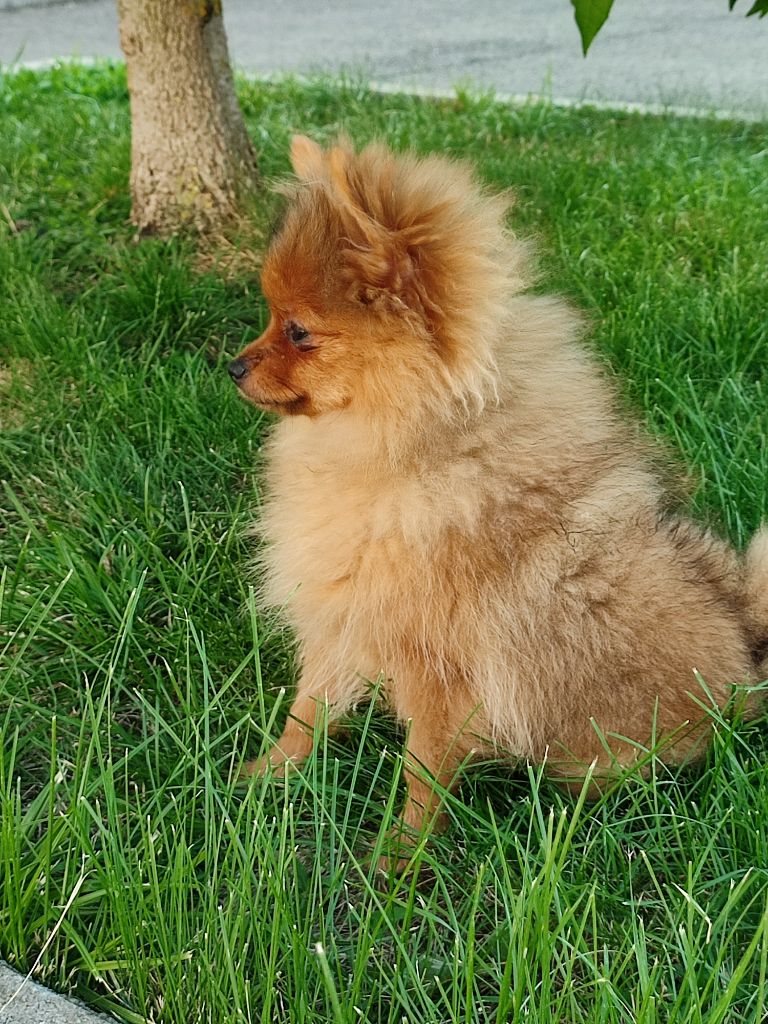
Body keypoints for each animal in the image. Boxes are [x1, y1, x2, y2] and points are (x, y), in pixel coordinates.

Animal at [229, 134, 768, 858]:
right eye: (271, 318)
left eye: (298, 331)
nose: (234, 366)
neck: (419, 447)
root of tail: (748, 651)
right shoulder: (346, 613)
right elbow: (306, 712)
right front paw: (264, 775)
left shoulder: (441, 668)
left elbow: (423, 769)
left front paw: (400, 858)